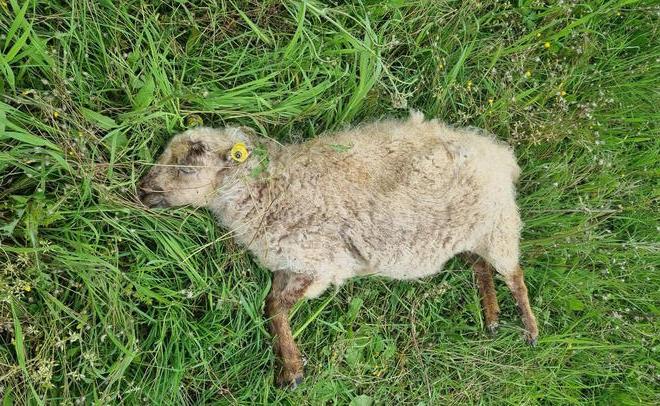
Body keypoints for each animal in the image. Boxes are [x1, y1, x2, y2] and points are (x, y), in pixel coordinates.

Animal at [137, 112, 539, 388]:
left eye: (192, 159)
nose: (142, 189)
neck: (270, 191)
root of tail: (501, 155)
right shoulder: (291, 264)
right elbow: (272, 306)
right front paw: (291, 367)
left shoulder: (322, 264)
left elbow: (276, 305)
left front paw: (292, 371)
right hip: (466, 237)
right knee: (479, 266)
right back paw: (491, 316)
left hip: (500, 226)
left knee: (514, 274)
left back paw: (530, 328)